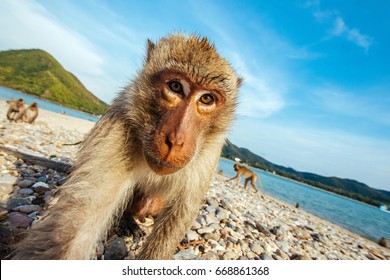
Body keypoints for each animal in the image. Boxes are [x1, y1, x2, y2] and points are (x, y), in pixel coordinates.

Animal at [12, 33, 242, 260]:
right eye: (176, 87)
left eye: (206, 99)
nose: (175, 140)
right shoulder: (117, 128)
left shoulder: (210, 152)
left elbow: (182, 210)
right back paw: (128, 219)